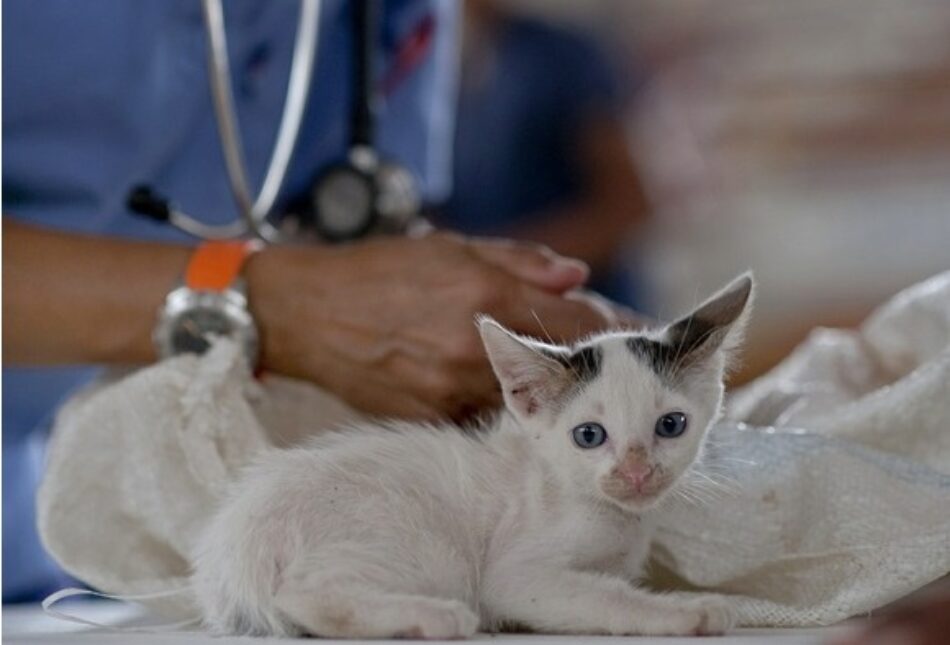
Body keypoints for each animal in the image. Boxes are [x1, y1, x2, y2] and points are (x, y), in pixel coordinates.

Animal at [193, 272, 756, 640]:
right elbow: (602, 597)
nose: (636, 472)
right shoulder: (515, 576)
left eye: (671, 426)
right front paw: (690, 611)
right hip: (421, 546)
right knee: (303, 596)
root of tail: (235, 549)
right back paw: (434, 618)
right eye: (589, 436)